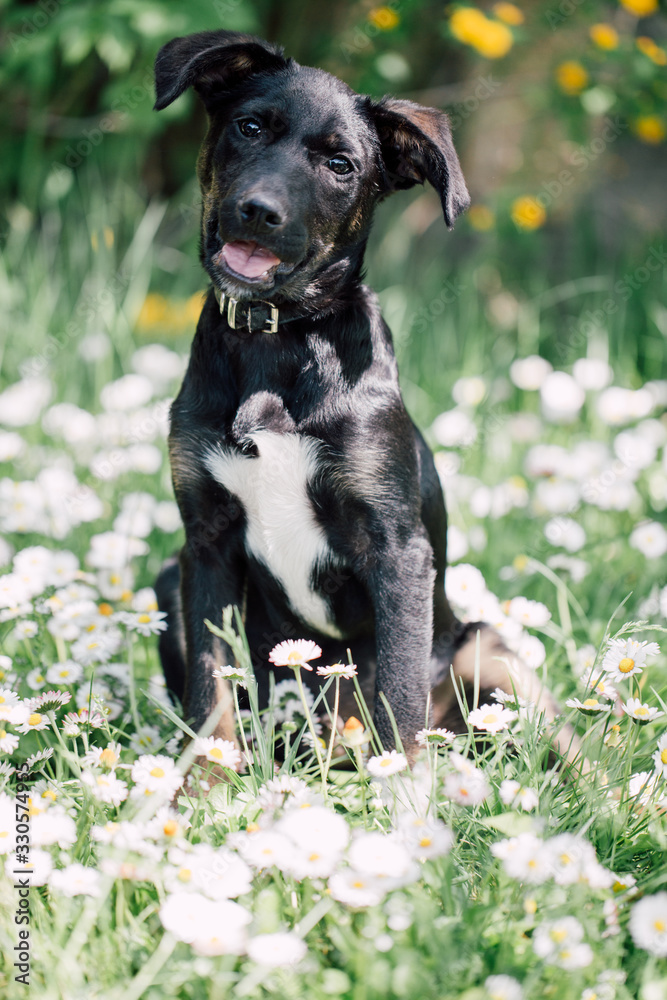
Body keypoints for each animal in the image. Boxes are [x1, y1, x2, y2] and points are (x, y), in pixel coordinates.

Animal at [153, 31, 564, 764]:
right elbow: (211, 687)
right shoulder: (204, 540)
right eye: (249, 126)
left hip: (488, 650)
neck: (279, 340)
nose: (258, 211)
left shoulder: (396, 547)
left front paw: (402, 790)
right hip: (167, 580)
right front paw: (201, 781)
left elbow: (399, 696)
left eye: (341, 165)